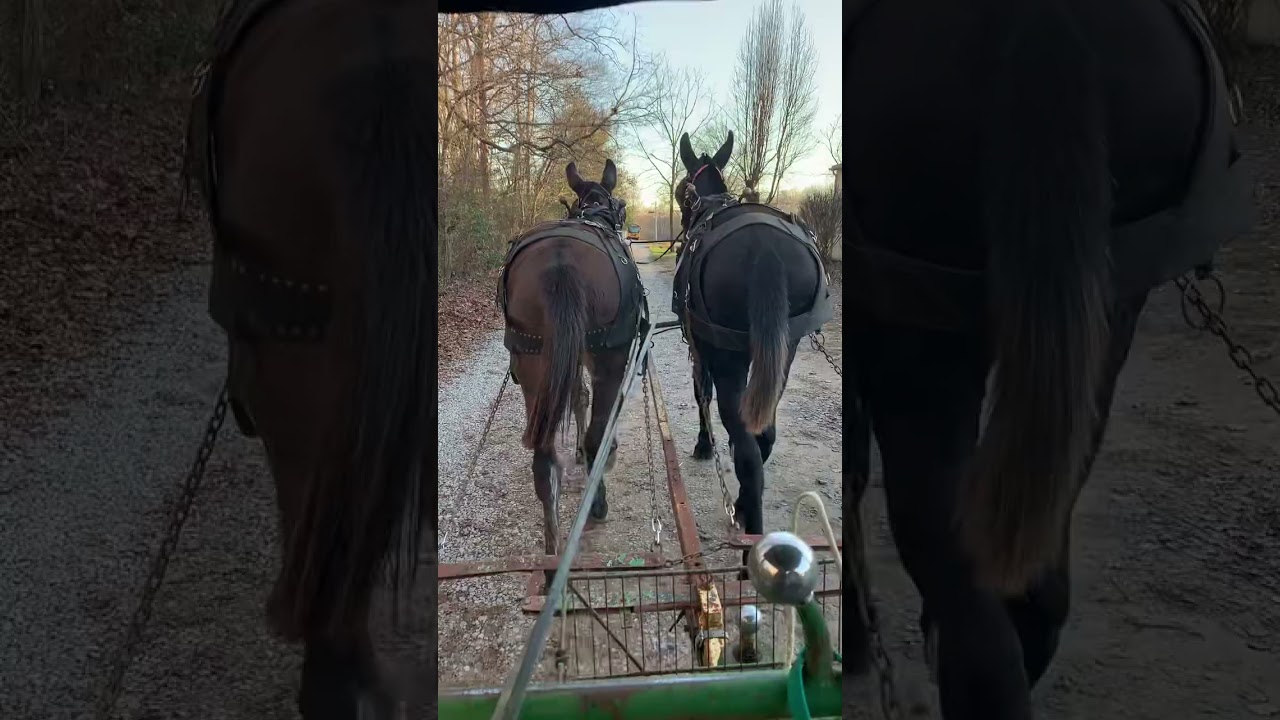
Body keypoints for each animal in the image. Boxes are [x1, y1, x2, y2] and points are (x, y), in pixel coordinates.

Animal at [498, 159, 647, 586]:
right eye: (621, 205)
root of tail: (560, 261)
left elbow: (578, 396)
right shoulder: (601, 352)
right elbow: (592, 406)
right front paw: (593, 451)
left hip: (531, 356)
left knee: (544, 459)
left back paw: (552, 557)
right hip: (608, 353)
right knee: (598, 432)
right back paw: (597, 500)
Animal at [671, 131, 834, 545]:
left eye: (681, 191)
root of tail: (766, 249)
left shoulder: (701, 348)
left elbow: (702, 394)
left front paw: (703, 444)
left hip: (729, 357)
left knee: (747, 449)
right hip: (784, 349)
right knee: (763, 439)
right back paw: (747, 507)